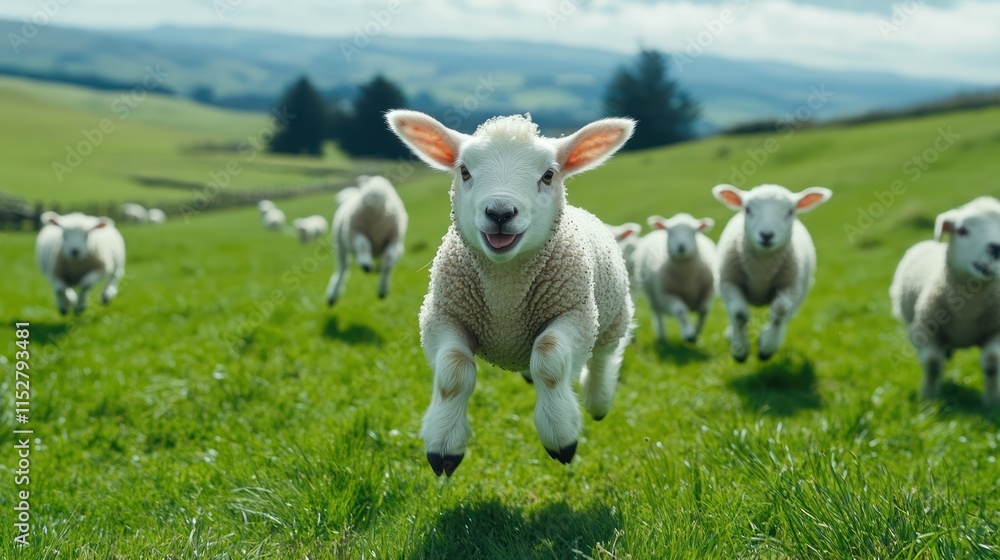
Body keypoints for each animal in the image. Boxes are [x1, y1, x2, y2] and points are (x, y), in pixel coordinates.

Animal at [324, 176, 408, 305]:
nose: (370, 202)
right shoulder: (355, 232)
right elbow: (363, 245)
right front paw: (366, 265)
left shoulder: (394, 240)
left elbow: (388, 262)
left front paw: (382, 289)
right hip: (340, 244)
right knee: (343, 268)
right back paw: (333, 295)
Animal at [387, 109, 635, 476]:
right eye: (464, 171)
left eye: (548, 175)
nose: (500, 213)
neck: (505, 288)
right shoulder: (442, 314)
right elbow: (452, 371)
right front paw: (443, 446)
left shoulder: (575, 312)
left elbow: (549, 358)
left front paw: (561, 436)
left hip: (612, 314)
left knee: (603, 355)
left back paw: (597, 400)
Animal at [633, 213, 716, 343]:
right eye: (670, 231)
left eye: (694, 231)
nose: (681, 247)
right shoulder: (666, 295)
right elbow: (681, 311)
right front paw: (689, 334)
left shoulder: (708, 291)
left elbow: (703, 311)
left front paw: (696, 333)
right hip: (653, 297)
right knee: (658, 313)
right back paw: (662, 336)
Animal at [712, 183, 832, 362]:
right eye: (747, 209)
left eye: (790, 211)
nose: (767, 235)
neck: (761, 269)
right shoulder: (729, 282)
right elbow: (739, 314)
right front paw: (740, 349)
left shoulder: (790, 285)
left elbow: (780, 311)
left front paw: (766, 348)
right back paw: (731, 335)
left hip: (800, 291)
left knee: (786, 314)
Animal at [889, 196, 1000, 405]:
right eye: (962, 230)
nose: (996, 247)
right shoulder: (926, 330)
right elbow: (932, 364)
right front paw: (928, 398)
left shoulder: (996, 331)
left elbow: (992, 363)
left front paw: (991, 401)